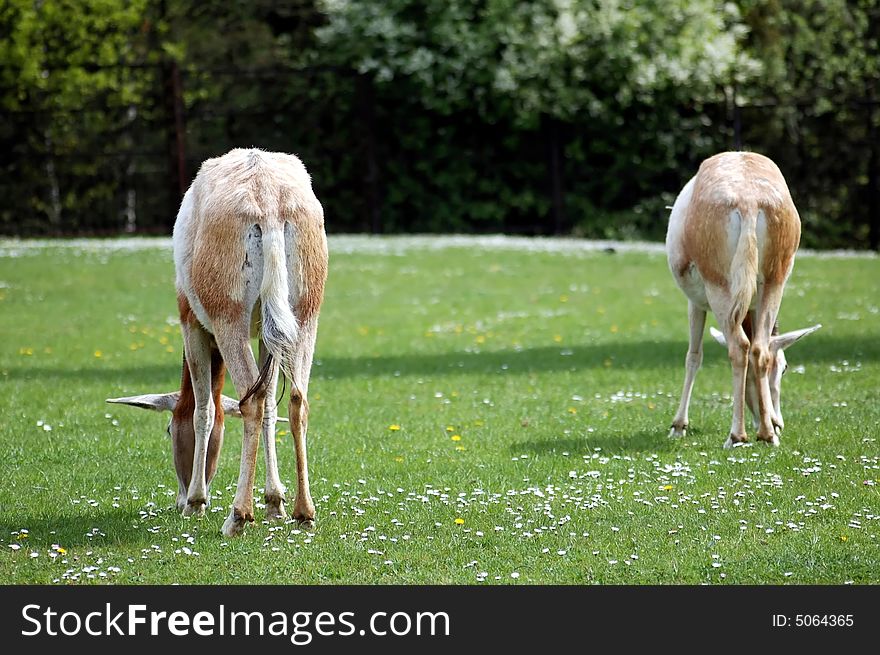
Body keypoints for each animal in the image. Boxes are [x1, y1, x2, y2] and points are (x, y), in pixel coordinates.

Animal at [107, 149, 326, 540]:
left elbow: (204, 409)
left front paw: (196, 502)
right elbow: (271, 405)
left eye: (168, 429)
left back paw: (237, 516)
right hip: (305, 312)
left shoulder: (191, 322)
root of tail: (268, 202)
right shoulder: (267, 334)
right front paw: (275, 502)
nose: (179, 498)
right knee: (295, 399)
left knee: (250, 399)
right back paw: (304, 512)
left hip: (228, 317)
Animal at [672, 151, 820, 448]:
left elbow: (693, 356)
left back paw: (736, 436)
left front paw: (678, 426)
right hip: (774, 282)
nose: (778, 422)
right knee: (759, 348)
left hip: (720, 288)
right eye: (784, 368)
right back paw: (766, 436)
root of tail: (749, 201)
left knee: (739, 346)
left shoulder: (696, 303)